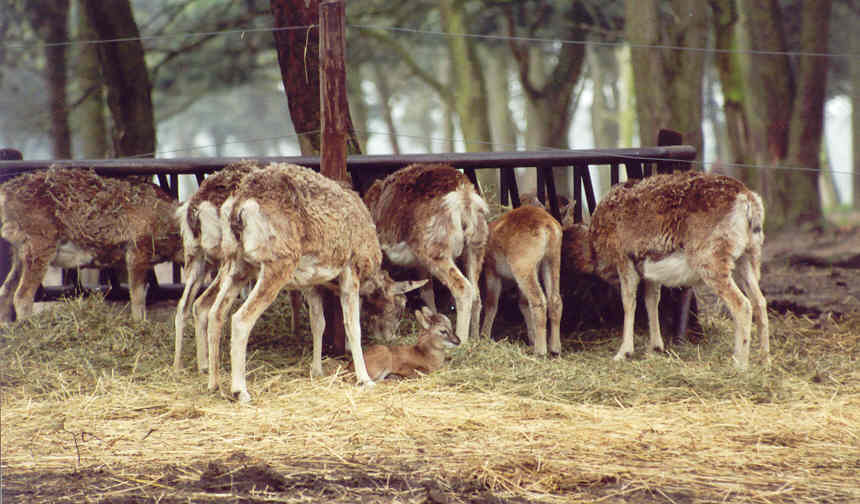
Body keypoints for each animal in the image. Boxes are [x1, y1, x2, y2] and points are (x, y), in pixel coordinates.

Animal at [0, 166, 181, 322]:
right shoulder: (137, 251)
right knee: (21, 295)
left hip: (18, 253)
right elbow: (138, 296)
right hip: (38, 245)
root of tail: (4, 195)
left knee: (6, 291)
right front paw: (140, 323)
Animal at [206, 163, 426, 404]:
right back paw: (240, 391)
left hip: (236, 263)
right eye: (401, 305)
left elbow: (318, 323)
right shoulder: (351, 269)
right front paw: (365, 379)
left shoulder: (311, 284)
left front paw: (317, 370)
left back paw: (213, 384)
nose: (391, 336)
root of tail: (239, 206)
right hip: (276, 263)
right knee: (240, 318)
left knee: (215, 313)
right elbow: (353, 326)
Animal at [362, 163, 490, 344]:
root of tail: (464, 197)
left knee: (463, 288)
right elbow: (426, 291)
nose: (386, 338)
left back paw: (463, 343)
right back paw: (476, 339)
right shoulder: (420, 264)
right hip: (476, 246)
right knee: (476, 295)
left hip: (436, 252)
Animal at [478, 204, 564, 354]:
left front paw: (484, 335)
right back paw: (555, 348)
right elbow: (523, 303)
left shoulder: (492, 271)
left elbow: (491, 303)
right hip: (551, 260)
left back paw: (540, 351)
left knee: (538, 301)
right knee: (555, 300)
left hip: (523, 266)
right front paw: (532, 338)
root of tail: (547, 225)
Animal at [560, 171, 768, 368]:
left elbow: (629, 301)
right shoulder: (649, 273)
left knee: (742, 304)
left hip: (711, 260)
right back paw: (764, 360)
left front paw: (623, 353)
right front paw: (655, 348)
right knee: (759, 301)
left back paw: (739, 364)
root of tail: (749, 201)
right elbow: (651, 301)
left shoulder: (624, 259)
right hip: (748, 257)